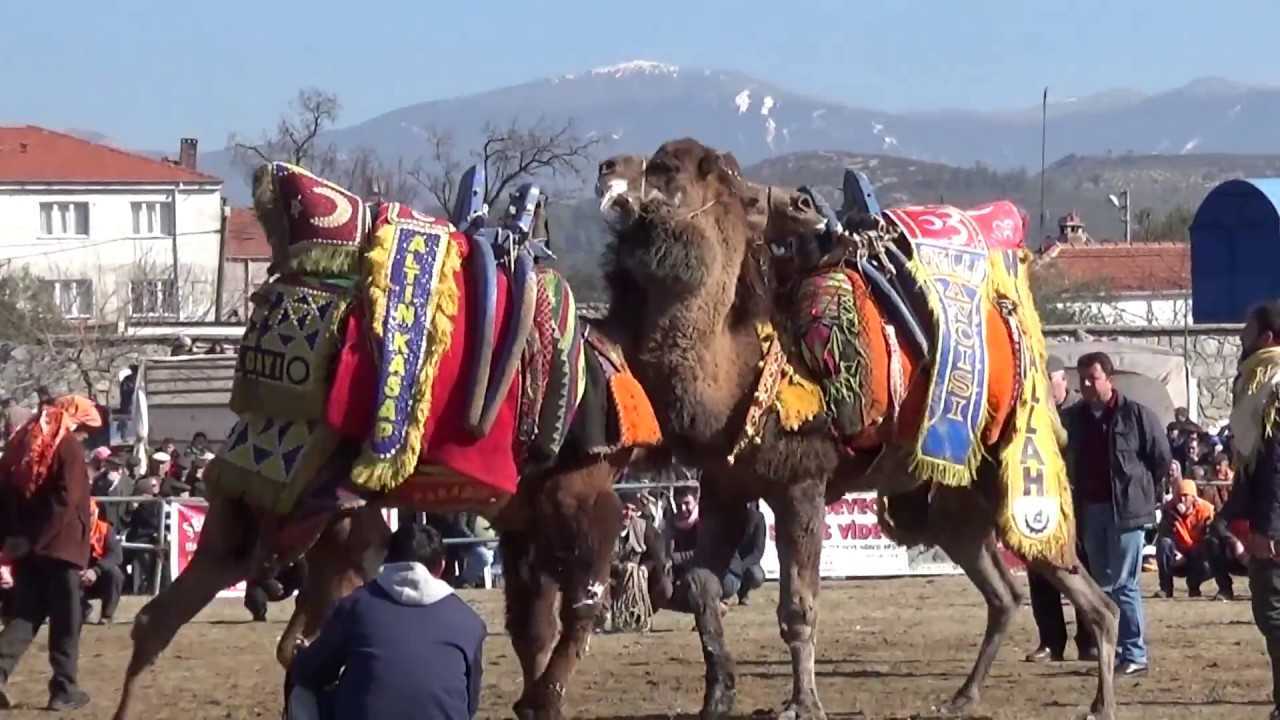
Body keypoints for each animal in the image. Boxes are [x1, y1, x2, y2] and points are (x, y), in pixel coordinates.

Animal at [593, 140, 1116, 717]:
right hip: (953, 504)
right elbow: (703, 590)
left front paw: (803, 703)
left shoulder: (801, 484)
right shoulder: (724, 487)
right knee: (1006, 594)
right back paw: (962, 697)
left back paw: (1100, 702)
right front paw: (717, 696)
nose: (607, 166)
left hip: (1014, 478)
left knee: (1086, 591)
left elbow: (797, 608)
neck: (741, 370)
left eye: (666, 169)